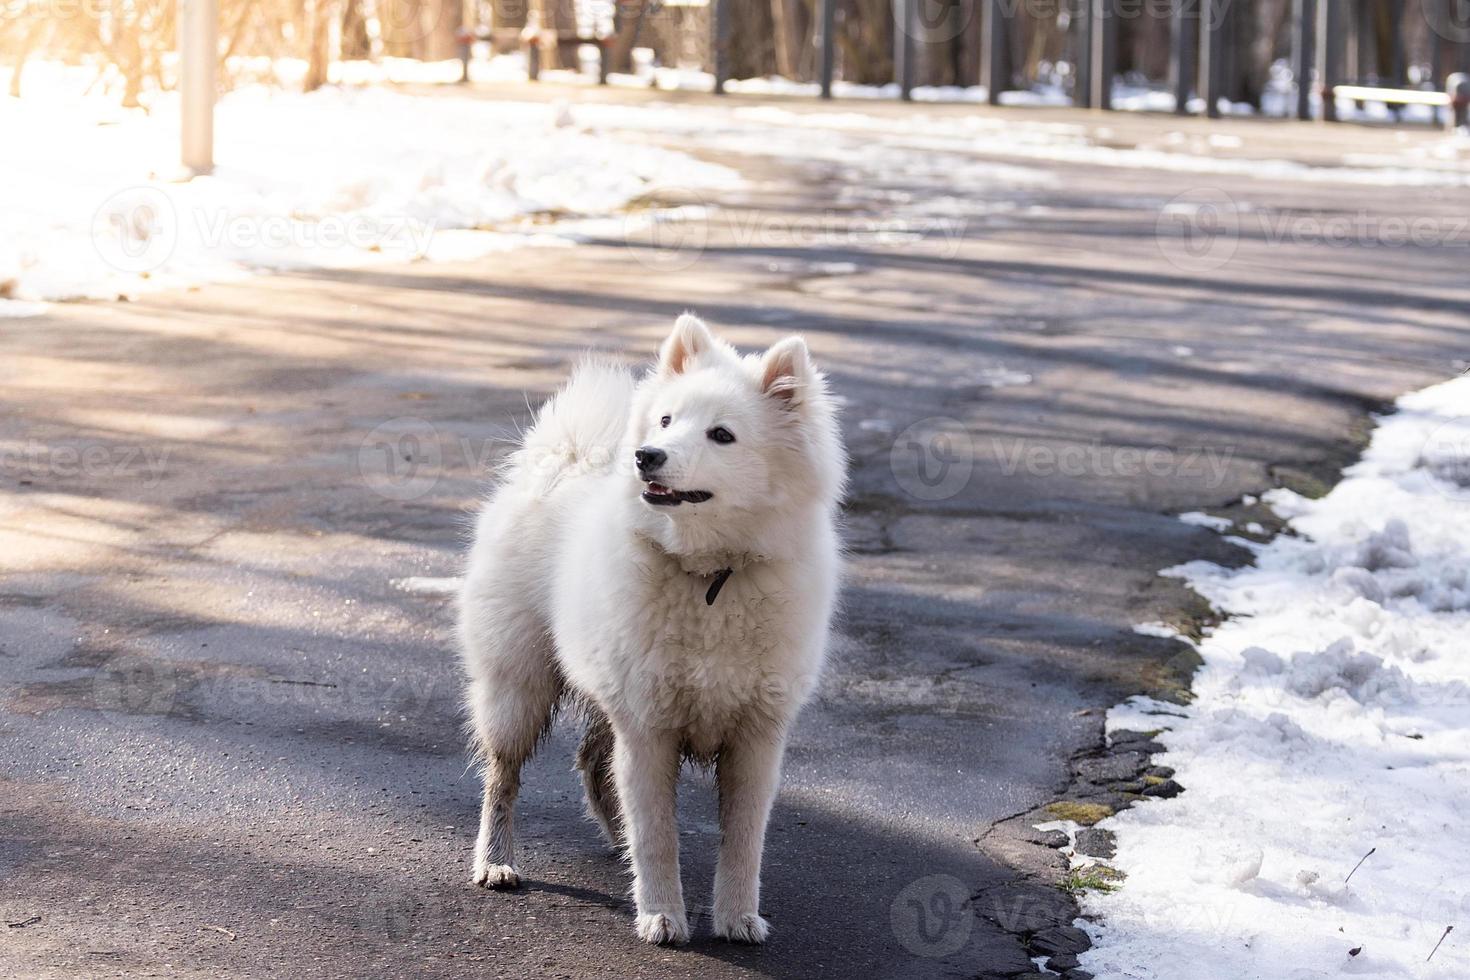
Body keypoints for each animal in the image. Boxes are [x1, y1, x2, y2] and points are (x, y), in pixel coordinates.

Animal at [458, 312, 852, 940]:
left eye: (722, 435)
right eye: (666, 421)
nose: (647, 455)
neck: (710, 575)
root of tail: (566, 457)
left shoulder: (755, 737)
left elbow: (743, 843)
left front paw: (738, 918)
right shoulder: (647, 728)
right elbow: (657, 834)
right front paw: (662, 914)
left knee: (593, 767)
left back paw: (615, 848)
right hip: (518, 687)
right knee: (503, 779)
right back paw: (495, 862)